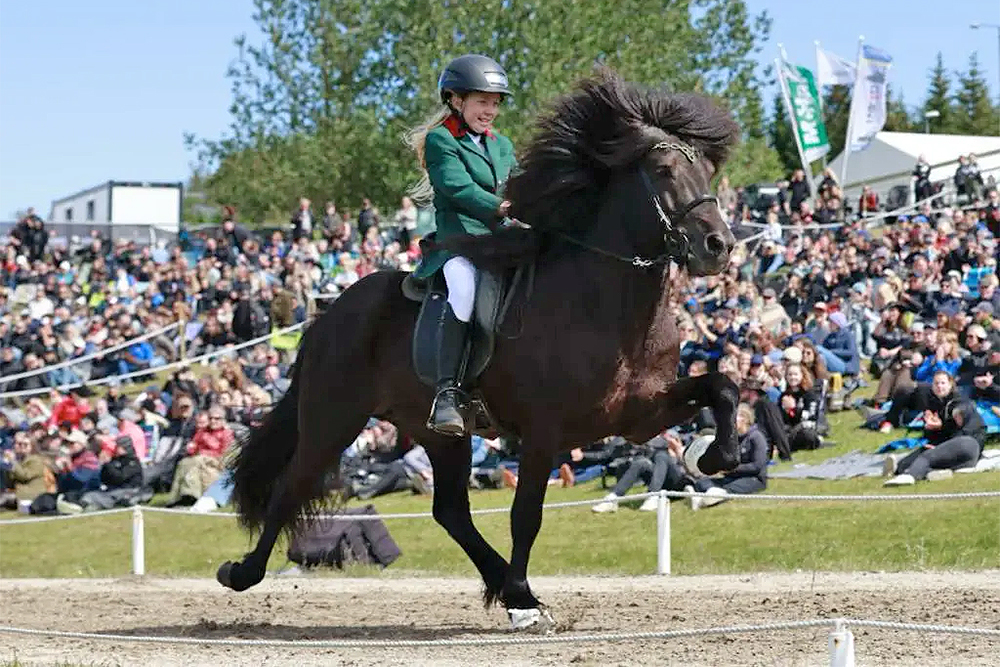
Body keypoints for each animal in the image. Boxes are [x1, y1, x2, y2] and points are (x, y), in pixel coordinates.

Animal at [219, 68, 744, 632]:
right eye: (665, 170)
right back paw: (241, 572)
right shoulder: (543, 432)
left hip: (435, 432)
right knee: (290, 487)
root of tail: (328, 315)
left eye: (708, 170)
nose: (719, 246)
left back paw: (510, 588)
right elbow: (526, 516)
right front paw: (521, 598)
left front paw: (715, 454)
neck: (606, 303)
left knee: (449, 511)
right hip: (332, 418)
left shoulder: (640, 416)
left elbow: (723, 386)